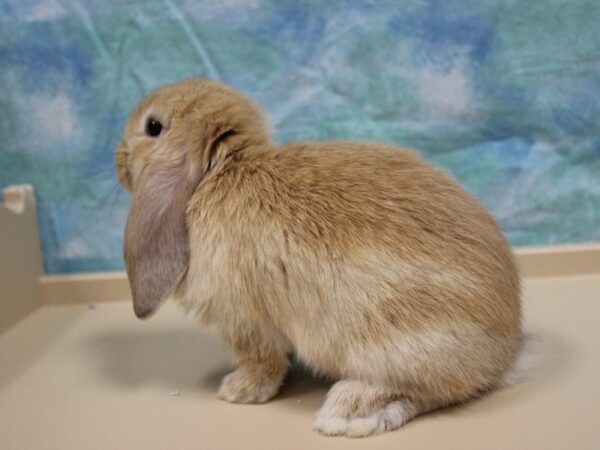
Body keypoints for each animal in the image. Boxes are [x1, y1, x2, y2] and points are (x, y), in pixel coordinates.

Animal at [116, 79, 520, 438]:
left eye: (152, 127)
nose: (118, 157)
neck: (220, 173)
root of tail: (505, 351)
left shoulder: (245, 320)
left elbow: (262, 359)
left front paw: (237, 391)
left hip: (398, 343)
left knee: (427, 391)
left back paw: (348, 412)